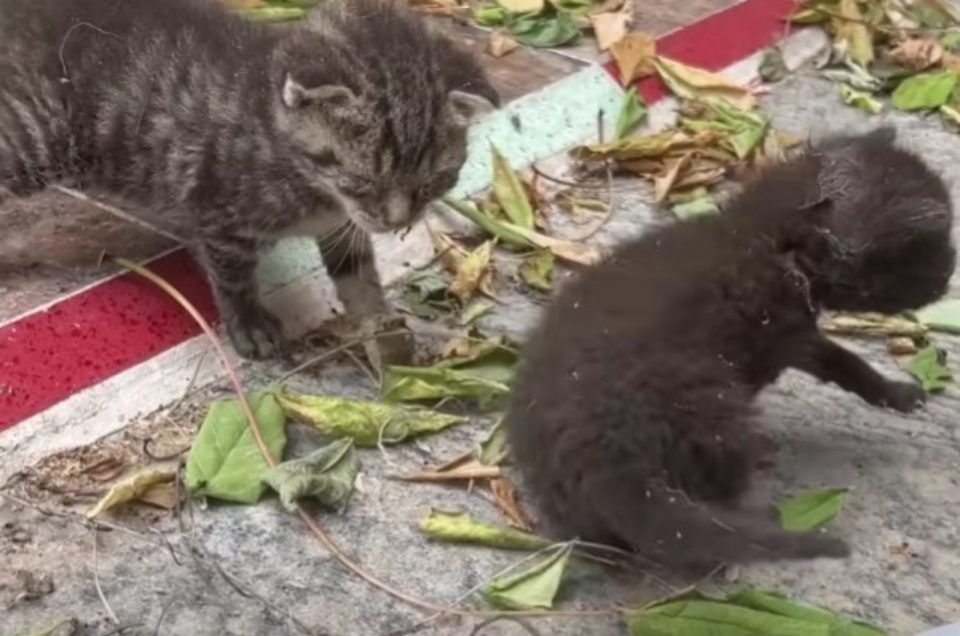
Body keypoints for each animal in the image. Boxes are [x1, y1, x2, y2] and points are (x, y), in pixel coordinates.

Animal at [0, 0, 496, 358]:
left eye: (431, 184)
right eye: (362, 182)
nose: (396, 223)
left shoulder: (342, 227)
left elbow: (360, 278)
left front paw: (384, 335)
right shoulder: (220, 215)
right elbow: (234, 279)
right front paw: (250, 325)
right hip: (36, 139)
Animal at [506, 128, 956, 568]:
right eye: (929, 249)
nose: (952, 273)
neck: (769, 236)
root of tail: (606, 463)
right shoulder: (787, 334)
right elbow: (844, 361)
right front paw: (895, 392)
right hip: (714, 411)